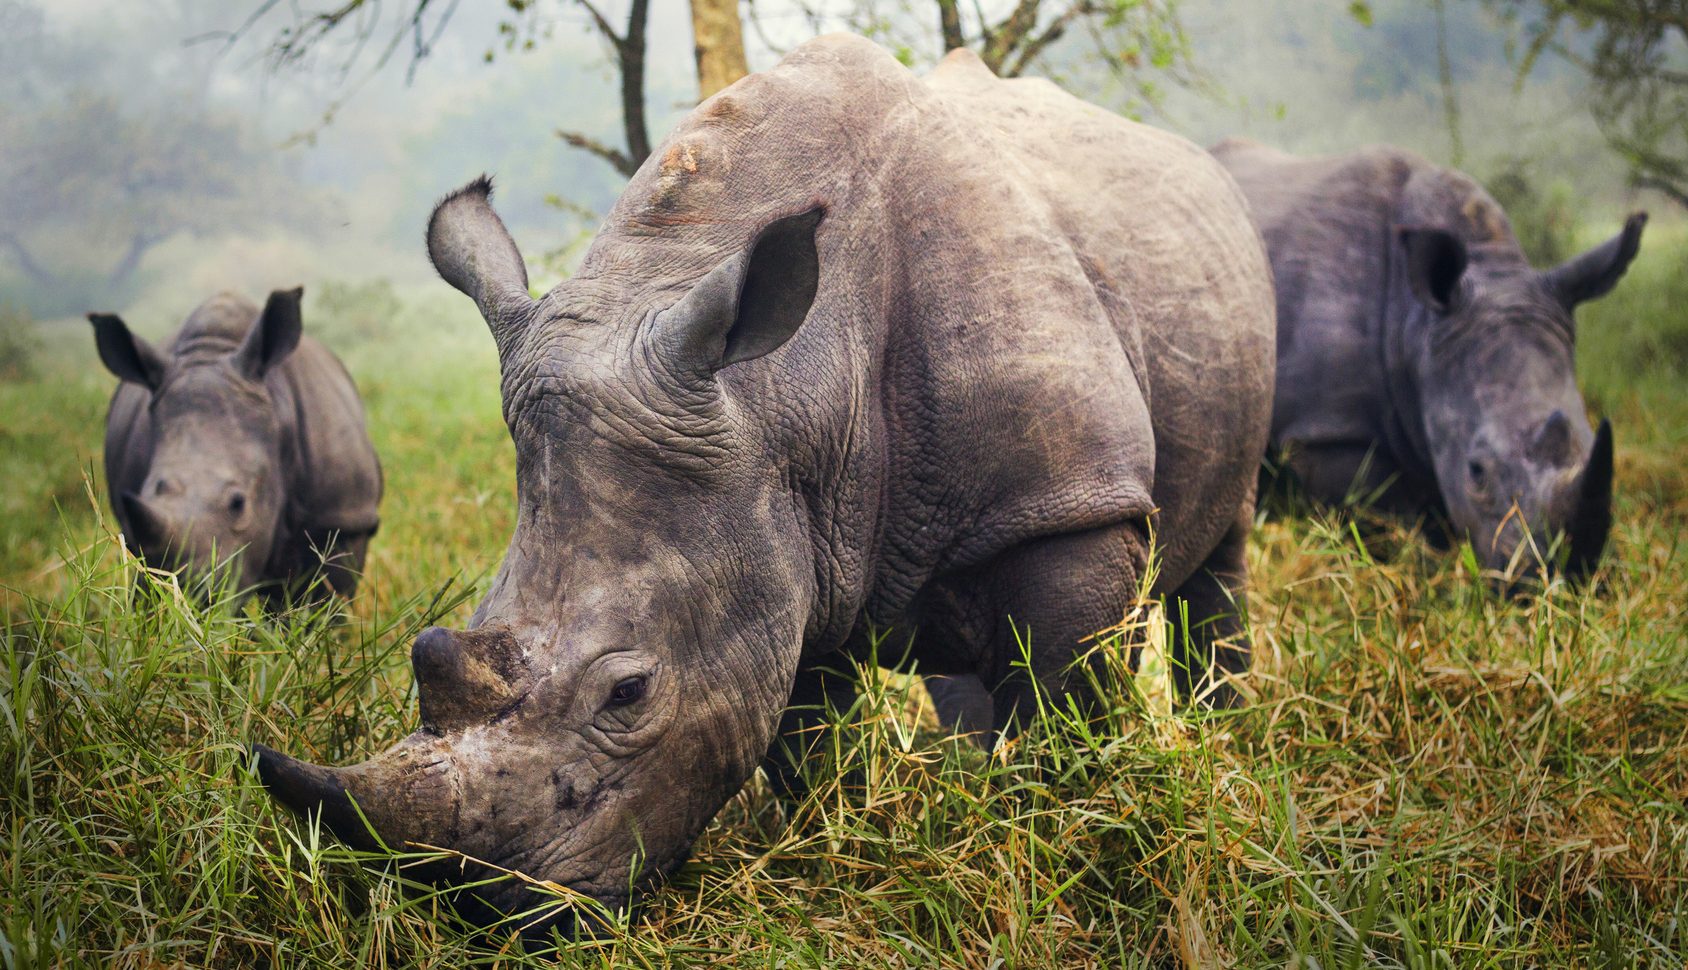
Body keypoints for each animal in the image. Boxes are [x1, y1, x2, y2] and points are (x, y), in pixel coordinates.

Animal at [253, 35, 1275, 927]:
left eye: (628, 695)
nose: (491, 912)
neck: (785, 390)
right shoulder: (785, 535)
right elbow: (802, 739)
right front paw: (837, 849)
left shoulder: (1065, 504)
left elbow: (1060, 702)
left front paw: (1054, 846)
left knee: (1213, 557)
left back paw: (1221, 741)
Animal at [1211, 139, 1642, 580]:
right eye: (1476, 472)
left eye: (1589, 440)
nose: (1566, 576)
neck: (1418, 326)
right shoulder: (1327, 429)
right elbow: (1382, 509)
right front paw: (1419, 559)